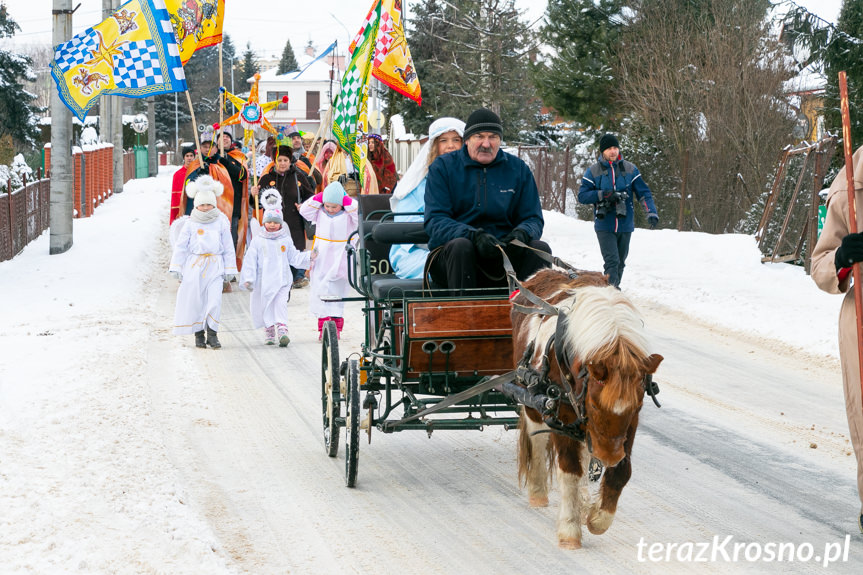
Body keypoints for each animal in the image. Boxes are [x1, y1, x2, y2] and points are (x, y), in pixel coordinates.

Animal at [510, 270, 664, 548]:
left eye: (637, 405)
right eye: (594, 403)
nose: (609, 457)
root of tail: (541, 274)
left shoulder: (629, 425)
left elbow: (622, 471)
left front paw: (598, 518)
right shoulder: (561, 414)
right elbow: (570, 470)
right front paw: (570, 529)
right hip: (533, 400)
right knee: (537, 438)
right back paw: (538, 492)